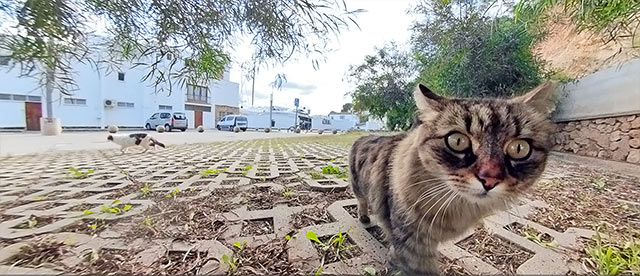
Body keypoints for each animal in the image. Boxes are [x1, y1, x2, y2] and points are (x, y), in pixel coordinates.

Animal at [350, 81, 556, 274]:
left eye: (519, 148)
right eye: (457, 141)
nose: (489, 179)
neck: (457, 206)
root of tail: (363, 137)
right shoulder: (412, 247)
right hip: (357, 187)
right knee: (361, 201)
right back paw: (364, 217)